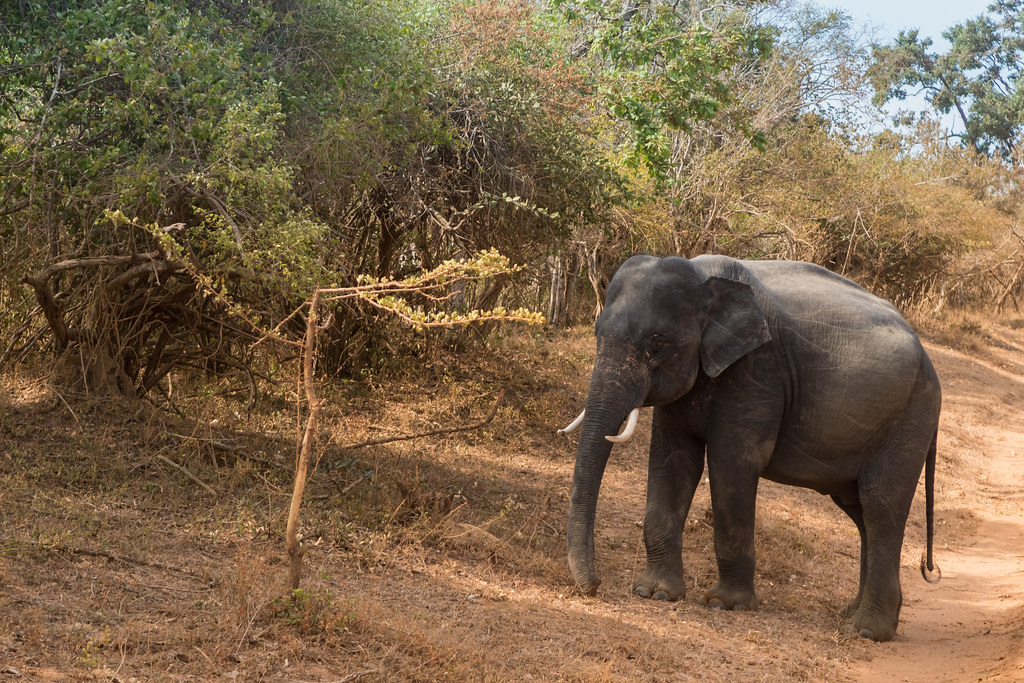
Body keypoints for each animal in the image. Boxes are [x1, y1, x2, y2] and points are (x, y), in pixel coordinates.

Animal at [565, 253, 937, 643]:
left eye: (659, 342)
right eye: (597, 332)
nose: (595, 586)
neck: (702, 277)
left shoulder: (757, 372)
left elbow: (732, 464)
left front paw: (724, 604)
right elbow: (673, 460)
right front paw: (654, 593)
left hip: (910, 419)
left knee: (880, 506)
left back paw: (864, 631)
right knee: (859, 510)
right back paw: (852, 615)